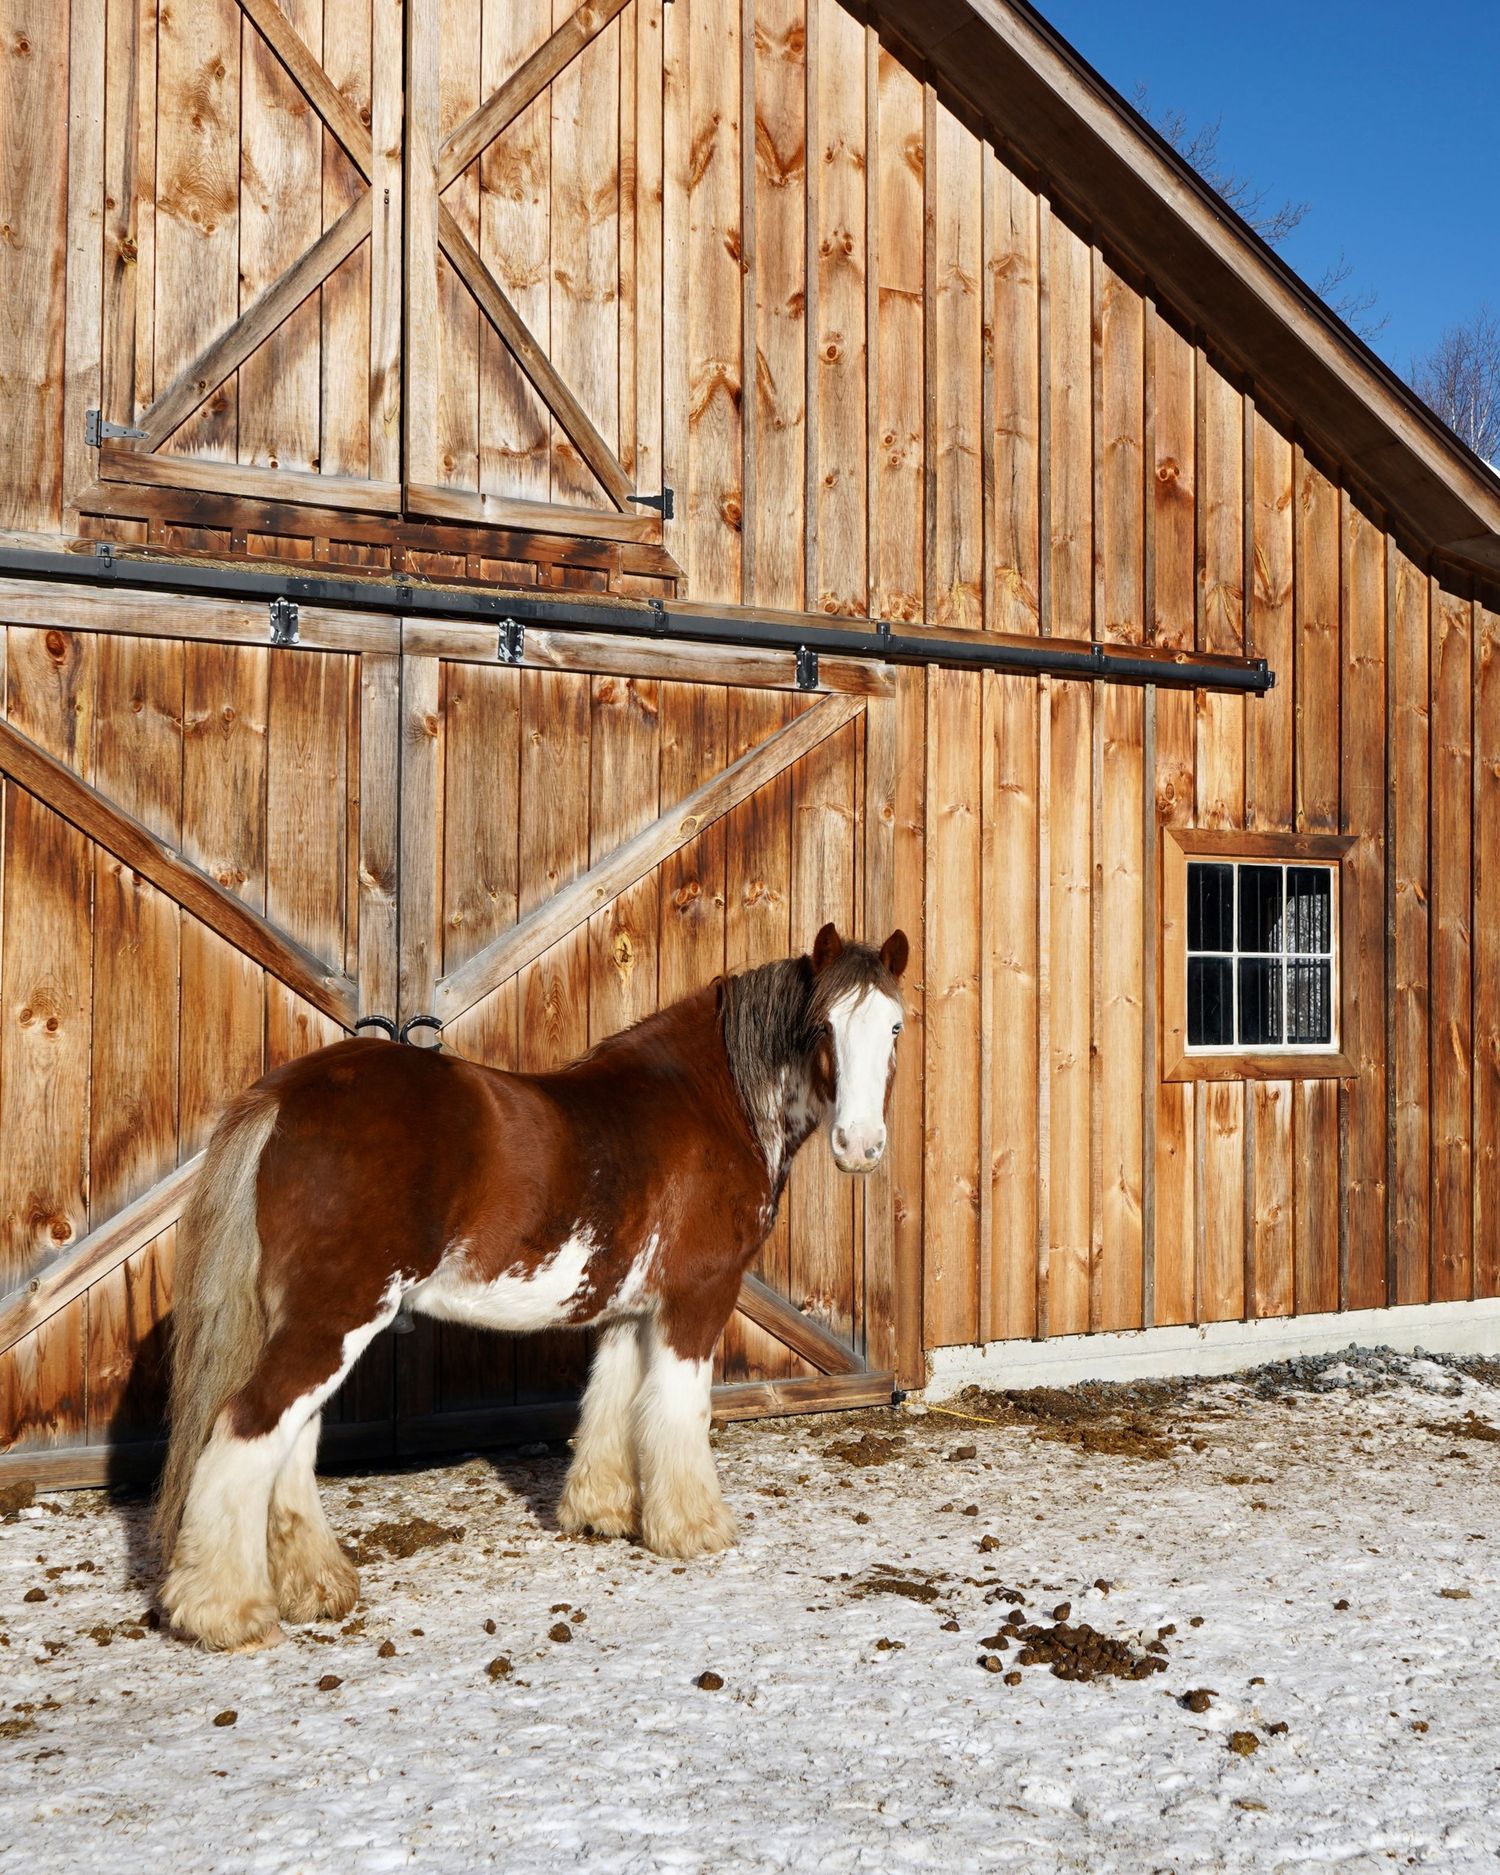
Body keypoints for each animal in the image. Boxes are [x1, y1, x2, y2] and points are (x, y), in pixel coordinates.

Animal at [153, 921, 908, 1651]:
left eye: (896, 1026)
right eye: (822, 1025)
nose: (861, 1146)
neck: (707, 1102)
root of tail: (283, 1096)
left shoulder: (630, 1307)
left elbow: (613, 1400)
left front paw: (603, 1514)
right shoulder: (700, 1295)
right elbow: (679, 1410)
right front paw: (695, 1529)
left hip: (317, 1321)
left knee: (292, 1442)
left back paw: (318, 1588)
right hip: (336, 1317)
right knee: (247, 1430)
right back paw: (228, 1615)